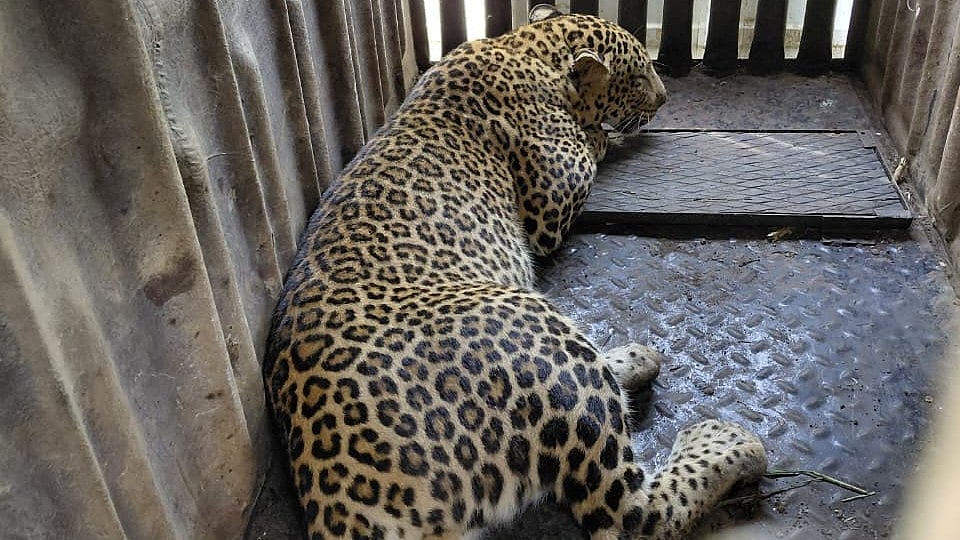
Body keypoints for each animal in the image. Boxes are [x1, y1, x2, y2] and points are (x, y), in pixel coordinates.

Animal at [262, 6, 767, 539]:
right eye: (639, 75)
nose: (665, 96)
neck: (527, 46)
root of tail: (341, 509)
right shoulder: (552, 197)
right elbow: (589, 145)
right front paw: (601, 133)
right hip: (527, 318)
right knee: (632, 513)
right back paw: (728, 440)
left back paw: (636, 358)